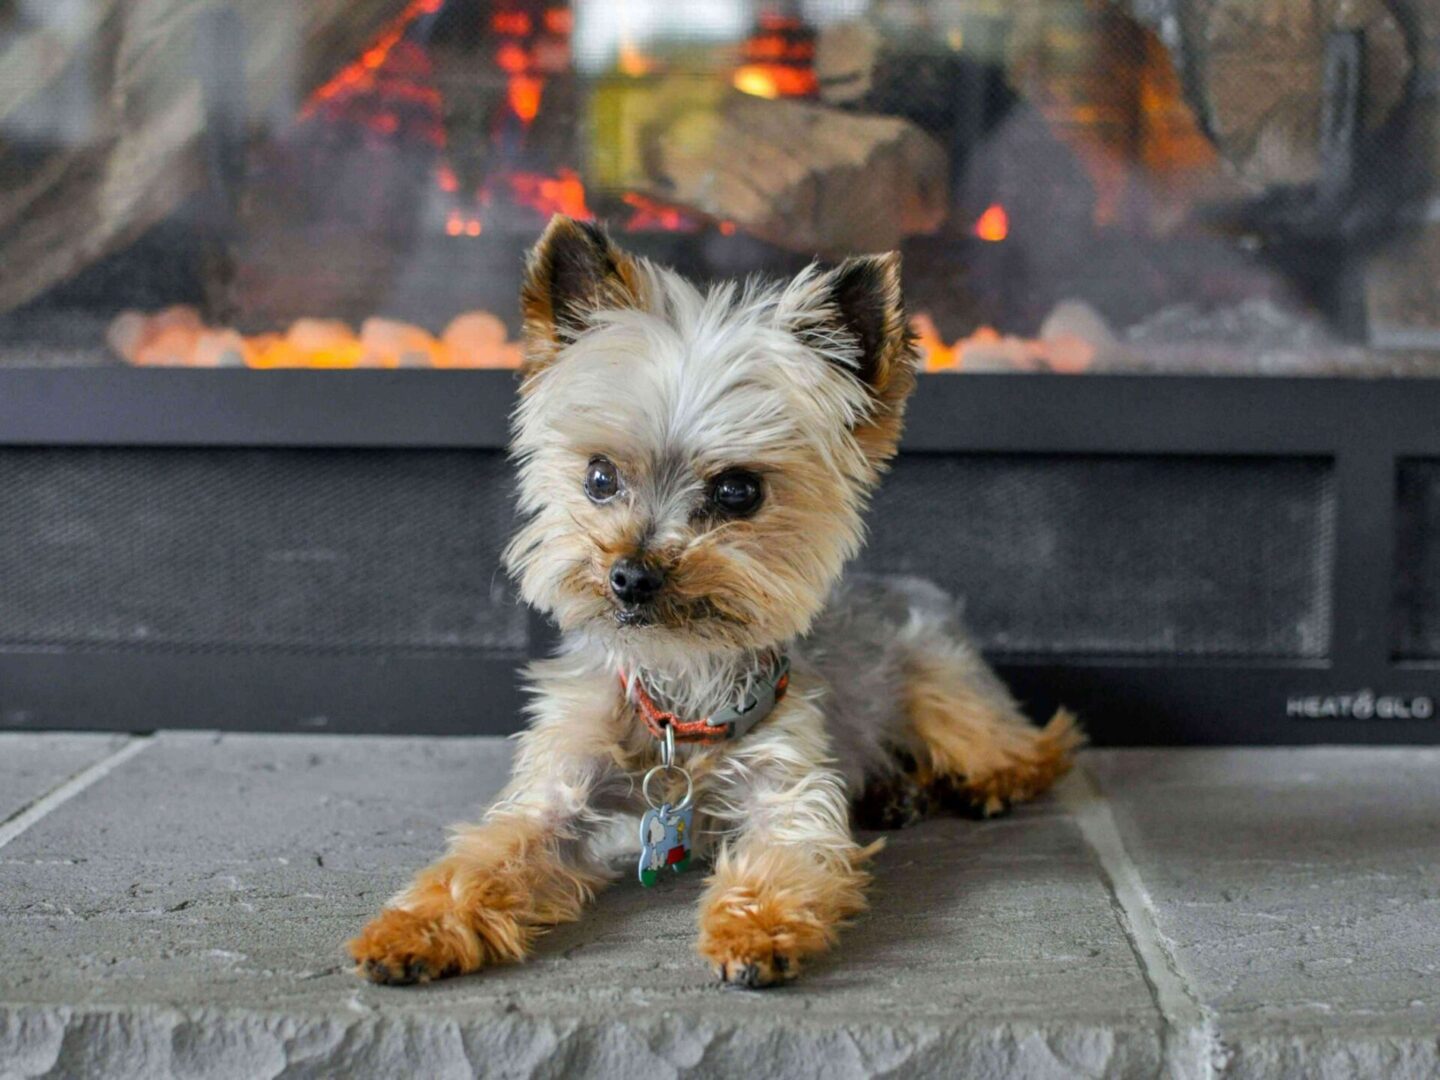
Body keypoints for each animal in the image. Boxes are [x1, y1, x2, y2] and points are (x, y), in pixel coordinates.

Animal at [354, 211, 1082, 990]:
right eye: (600, 476)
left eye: (739, 490)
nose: (631, 575)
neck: (681, 685)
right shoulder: (558, 791)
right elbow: (487, 855)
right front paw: (418, 925)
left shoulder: (786, 789)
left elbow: (781, 857)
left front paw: (755, 929)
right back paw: (896, 792)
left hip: (943, 682)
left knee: (1030, 744)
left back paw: (977, 783)